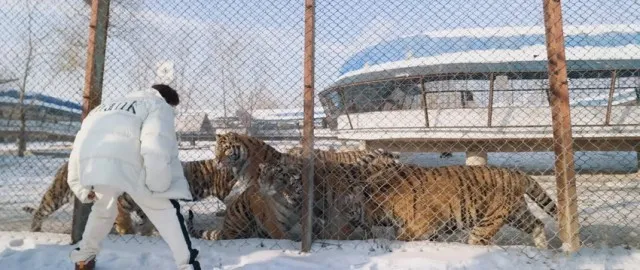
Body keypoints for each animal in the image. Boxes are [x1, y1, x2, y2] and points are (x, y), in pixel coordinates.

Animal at [23, 159, 238, 235]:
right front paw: (129, 232)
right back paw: (34, 229)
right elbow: (125, 220)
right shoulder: (121, 203)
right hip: (58, 194)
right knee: (41, 209)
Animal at [340, 162, 560, 249]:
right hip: (517, 214)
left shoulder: (416, 227)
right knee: (538, 224)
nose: (344, 226)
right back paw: (542, 249)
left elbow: (402, 240)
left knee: (478, 241)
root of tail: (516, 173)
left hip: (489, 221)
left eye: (349, 209)